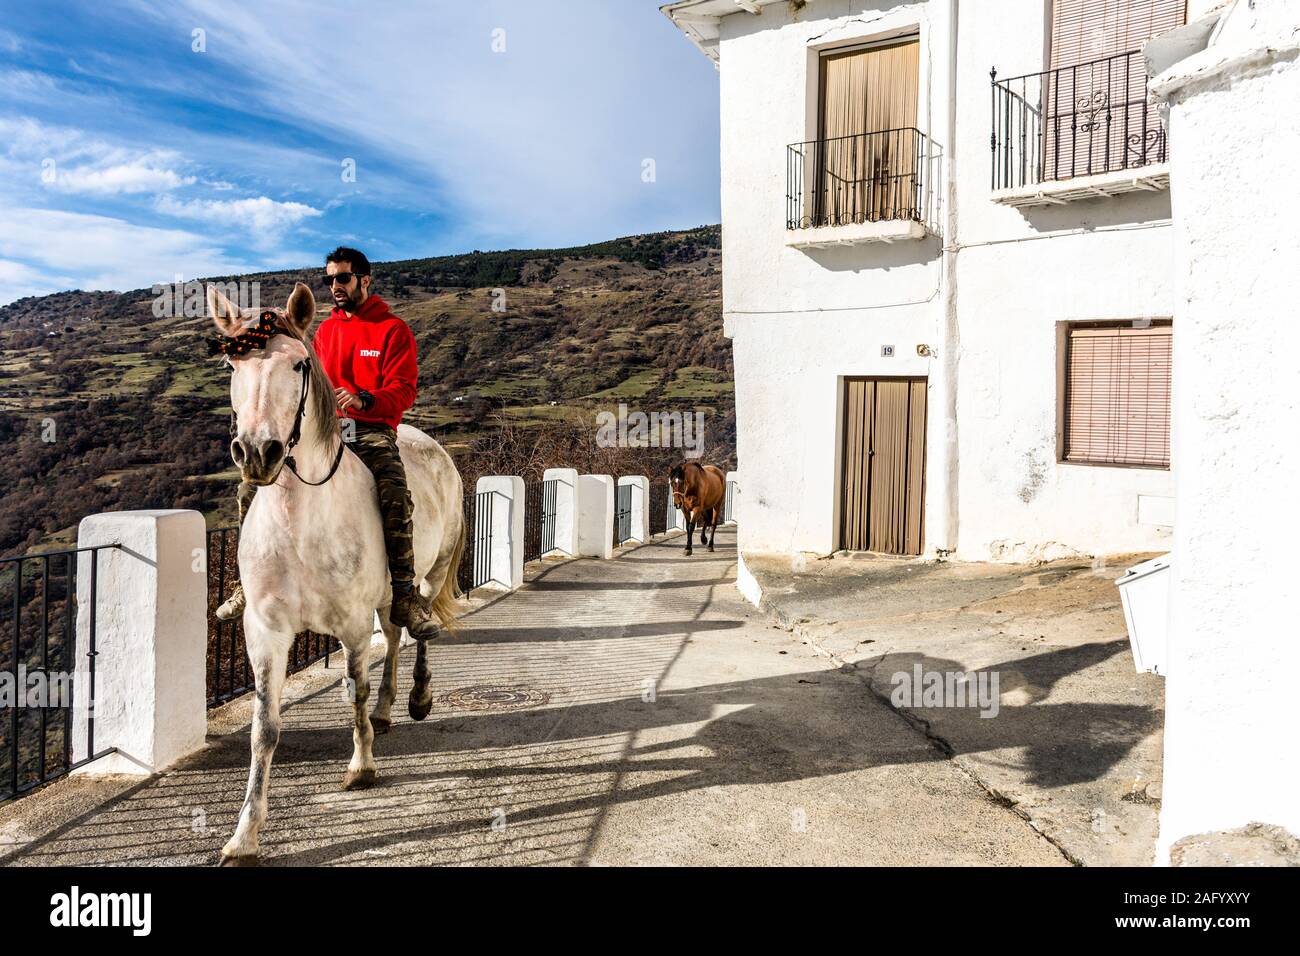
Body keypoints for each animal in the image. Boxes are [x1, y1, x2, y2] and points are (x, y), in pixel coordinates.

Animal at [206, 282, 462, 868]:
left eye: (300, 363)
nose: (258, 452)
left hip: (432, 571)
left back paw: (416, 698)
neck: (300, 520)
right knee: (395, 631)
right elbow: (265, 729)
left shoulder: (350, 624)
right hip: (388, 594)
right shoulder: (265, 632)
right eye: (233, 363)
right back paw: (390, 709)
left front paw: (361, 766)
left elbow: (355, 691)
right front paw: (244, 835)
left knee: (418, 629)